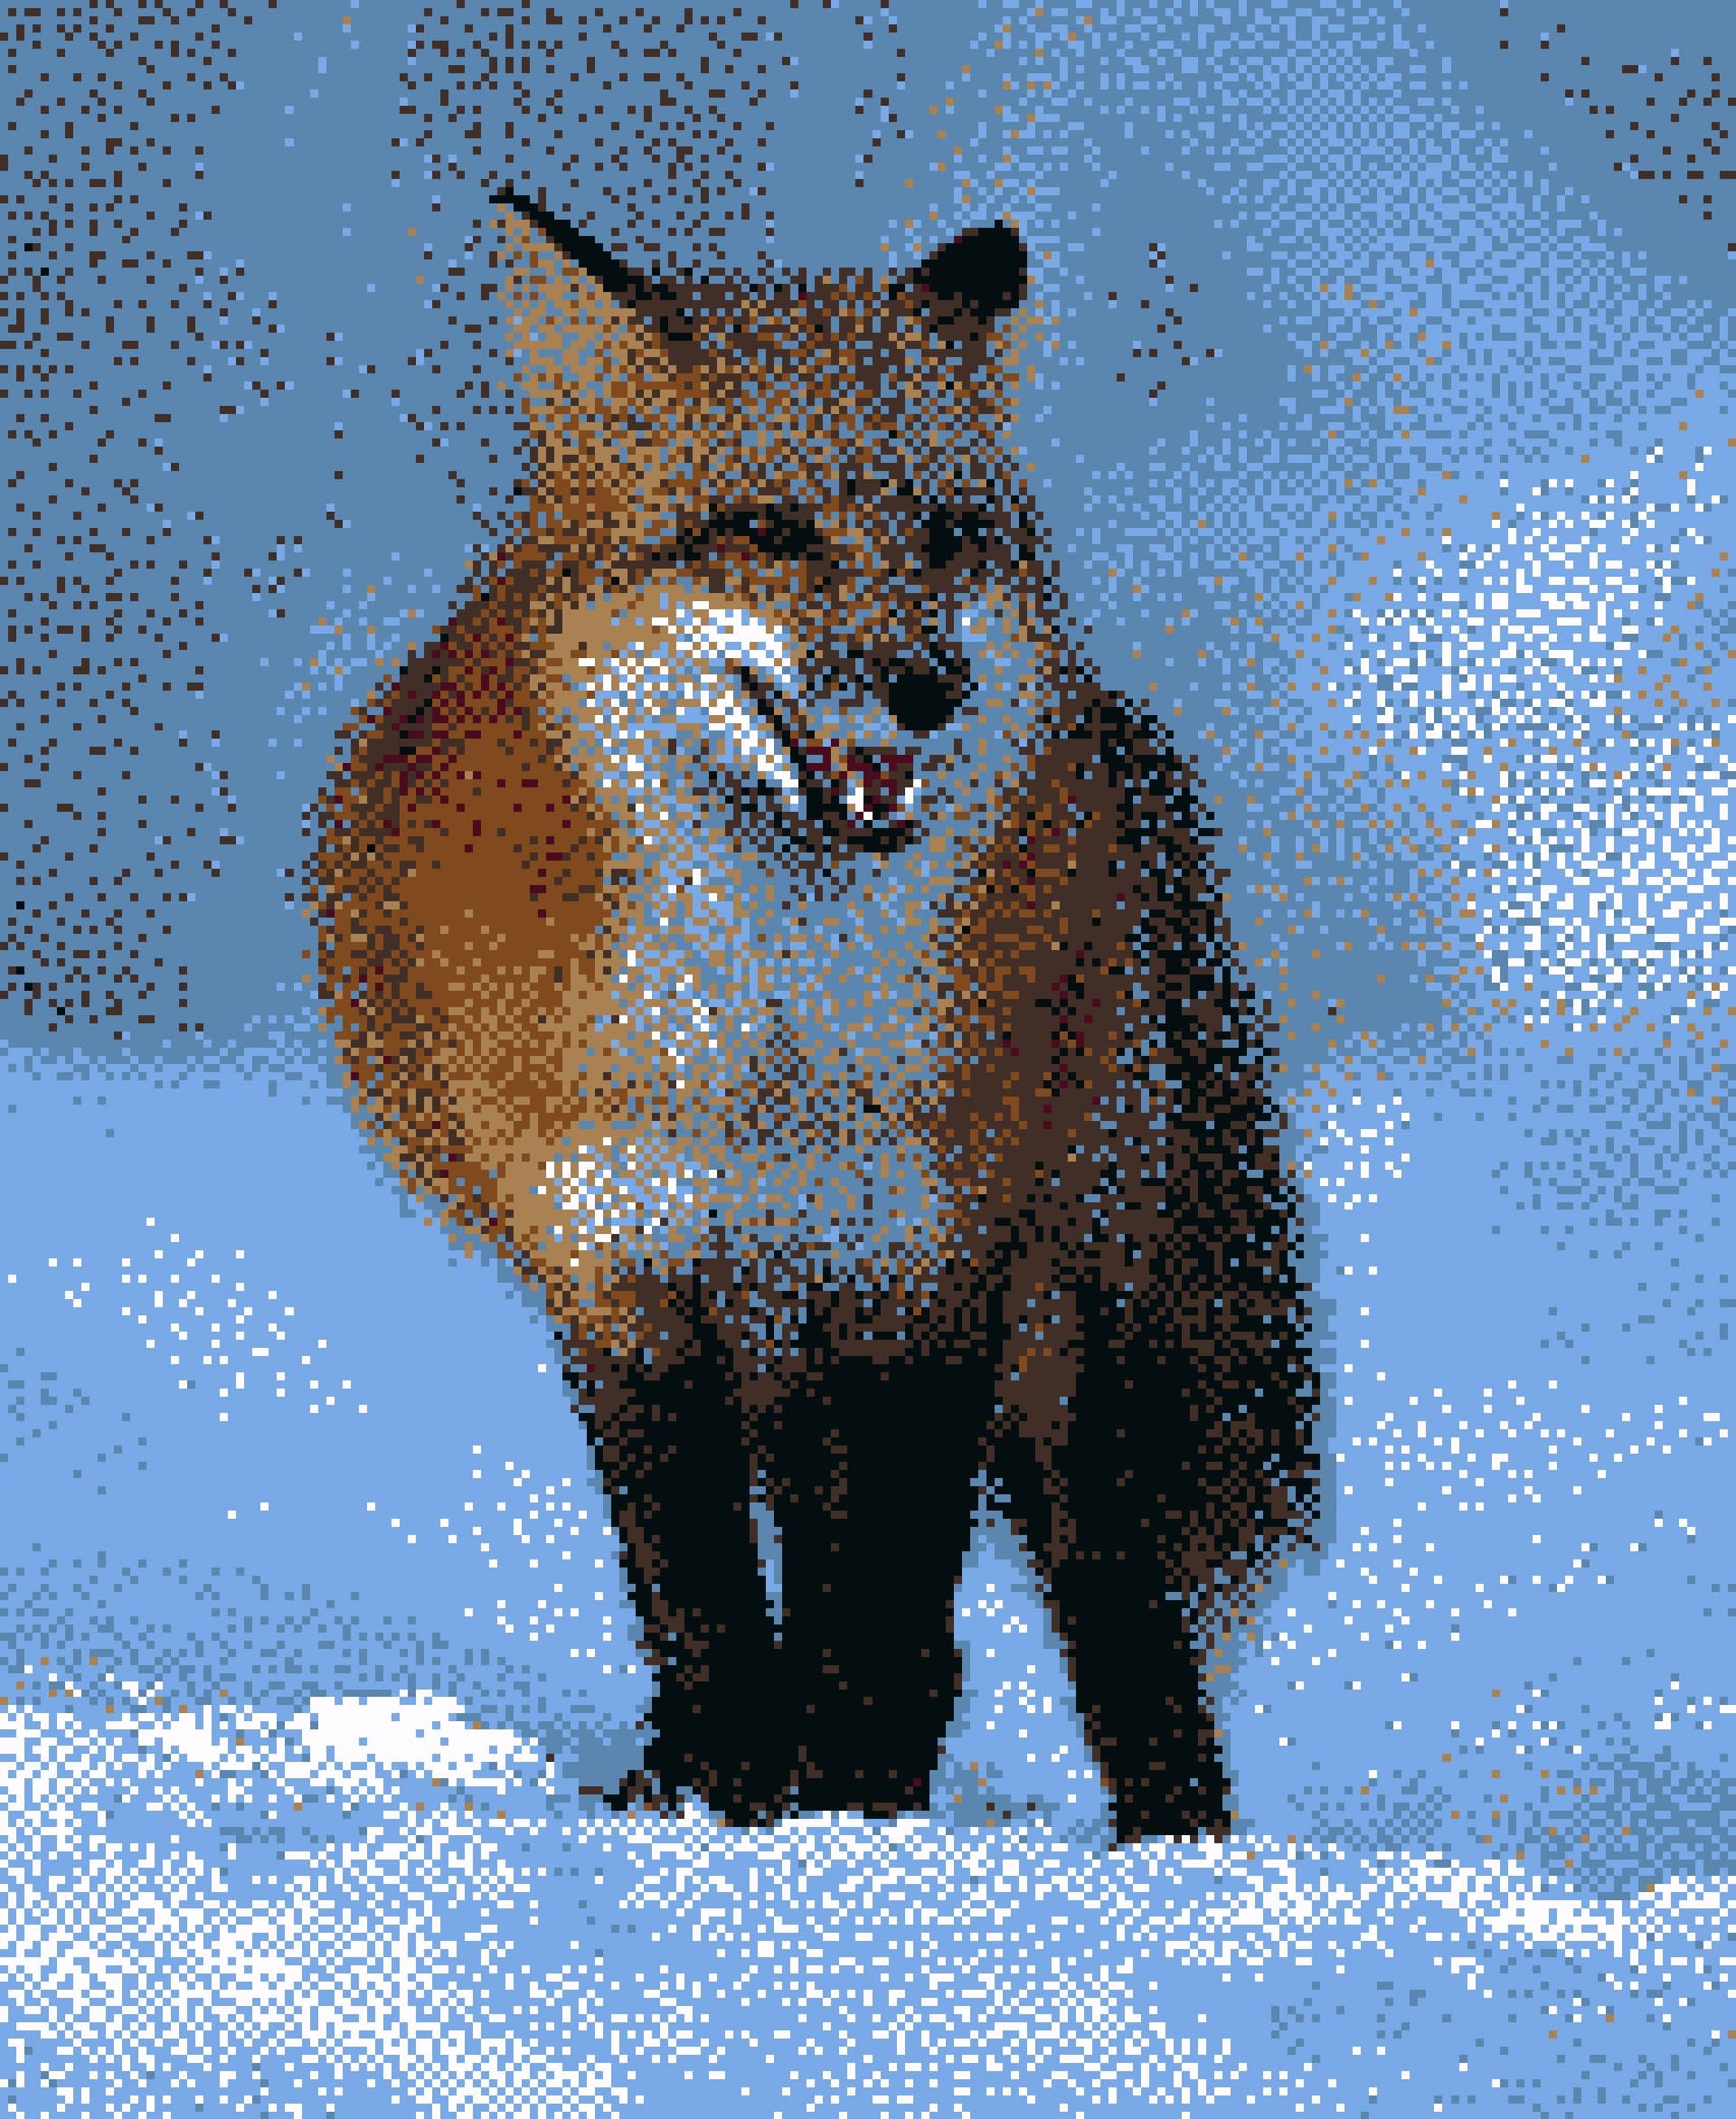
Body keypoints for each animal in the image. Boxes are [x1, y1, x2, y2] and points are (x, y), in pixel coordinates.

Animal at [309, 194, 1318, 1843]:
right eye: (772, 532)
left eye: (948, 535)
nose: (928, 686)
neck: (769, 1049)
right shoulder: (630, 1278)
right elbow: (704, 1596)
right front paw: (730, 1804)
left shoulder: (928, 1274)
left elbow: (887, 1612)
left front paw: (849, 1819)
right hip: (781, 1328)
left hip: (1064, 1302)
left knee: (1105, 1592)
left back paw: (1177, 1835)